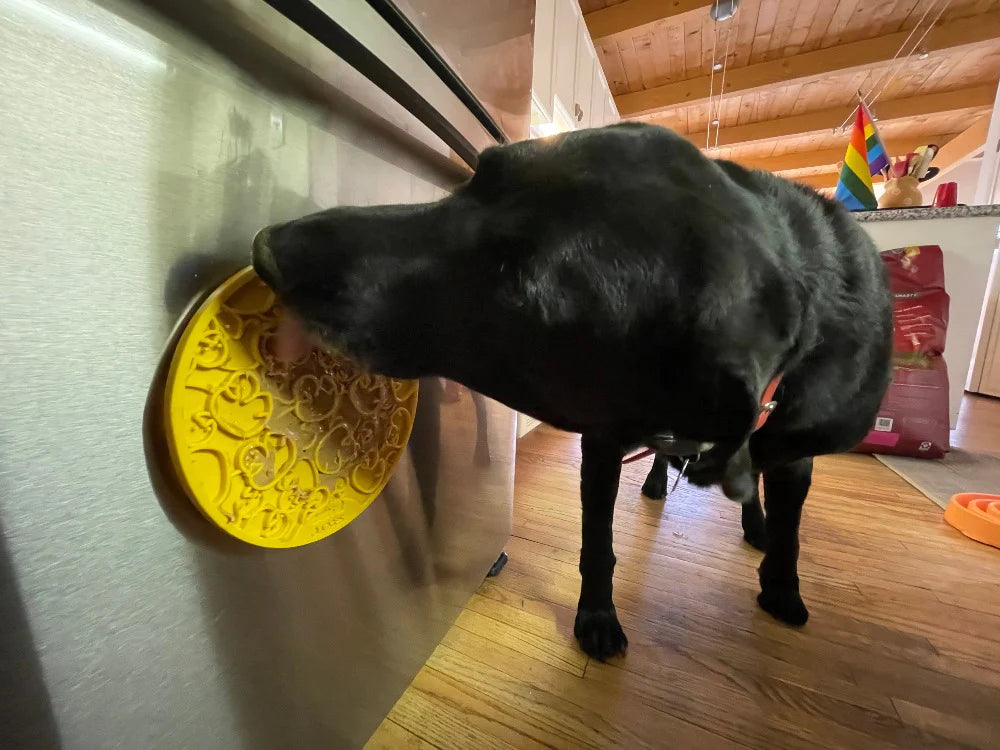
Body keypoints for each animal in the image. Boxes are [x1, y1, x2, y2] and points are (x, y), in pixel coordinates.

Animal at [250, 125, 892, 664]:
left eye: (519, 285)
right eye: (479, 174)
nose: (269, 248)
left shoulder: (796, 451)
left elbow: (790, 528)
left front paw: (782, 587)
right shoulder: (604, 440)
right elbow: (598, 543)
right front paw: (598, 616)